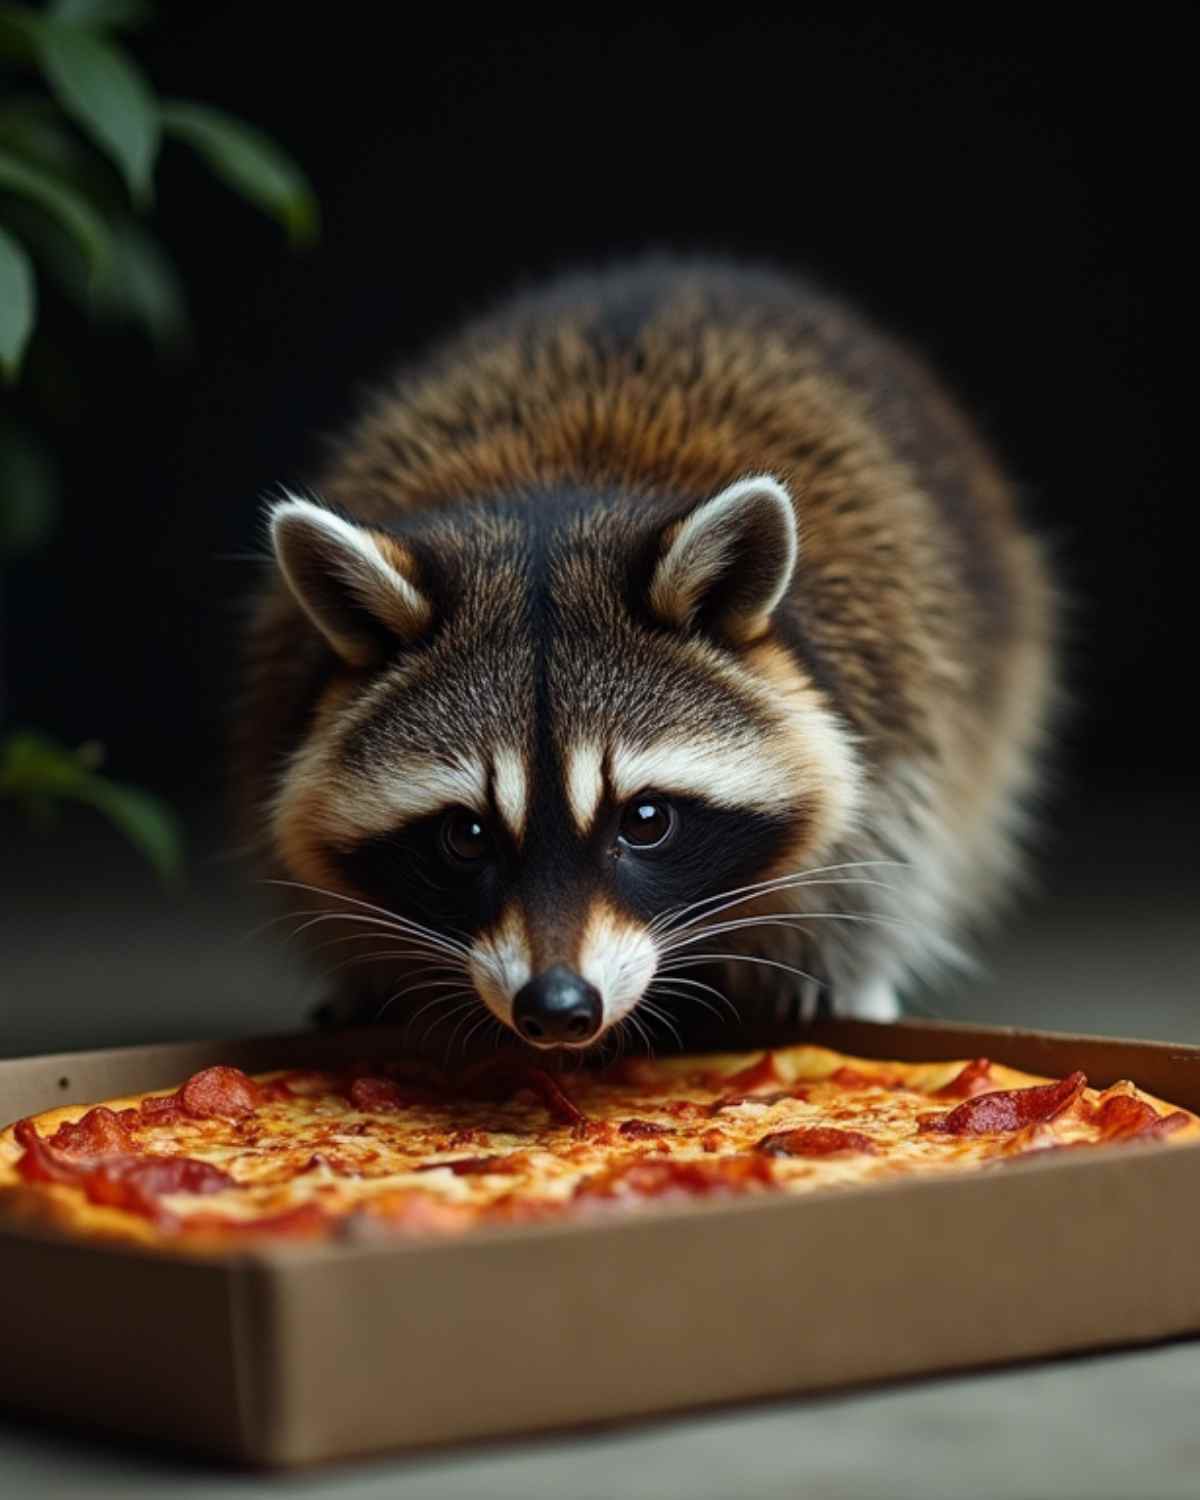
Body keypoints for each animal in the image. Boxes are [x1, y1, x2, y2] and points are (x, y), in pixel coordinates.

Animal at [237, 257, 1056, 1053]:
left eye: (648, 820)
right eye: (465, 837)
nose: (557, 1008)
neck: (557, 499)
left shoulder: (895, 685)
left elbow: (884, 849)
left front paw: (838, 964)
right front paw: (378, 976)